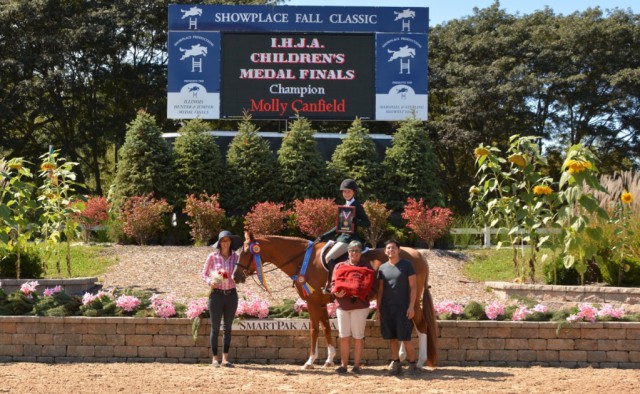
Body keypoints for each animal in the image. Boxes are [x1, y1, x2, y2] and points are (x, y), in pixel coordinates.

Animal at [235, 232, 440, 368]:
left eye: (245, 252)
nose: (236, 276)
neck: (303, 259)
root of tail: (418, 254)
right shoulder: (320, 303)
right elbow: (326, 328)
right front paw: (329, 359)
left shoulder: (312, 302)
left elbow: (314, 329)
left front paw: (310, 360)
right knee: (410, 325)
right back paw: (402, 357)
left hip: (413, 300)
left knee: (421, 325)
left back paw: (420, 361)